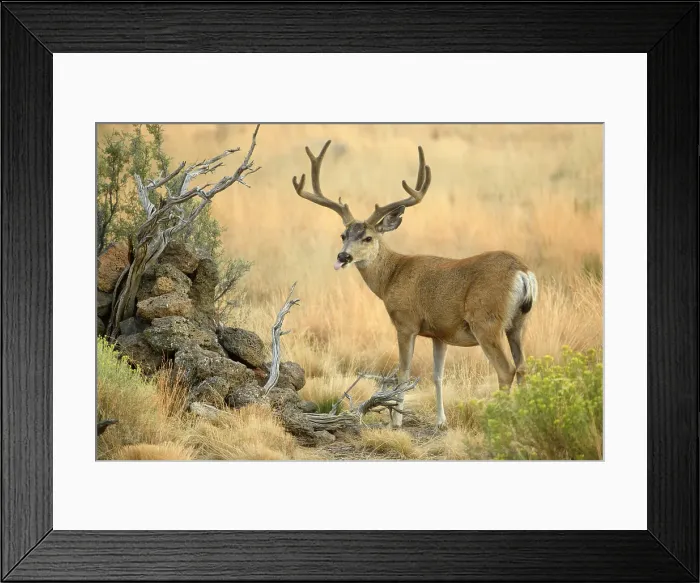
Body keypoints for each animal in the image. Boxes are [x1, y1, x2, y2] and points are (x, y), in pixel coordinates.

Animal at [292, 140, 538, 430]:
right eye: (343, 235)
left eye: (368, 237)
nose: (343, 257)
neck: (392, 277)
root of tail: (522, 272)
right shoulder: (440, 333)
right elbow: (437, 375)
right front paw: (441, 421)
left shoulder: (405, 322)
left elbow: (403, 374)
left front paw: (396, 421)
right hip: (518, 323)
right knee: (523, 367)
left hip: (486, 321)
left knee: (506, 370)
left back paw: (500, 421)